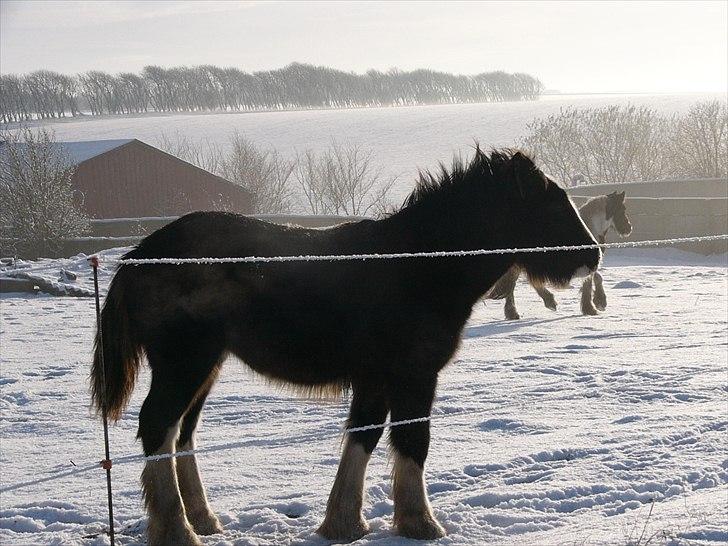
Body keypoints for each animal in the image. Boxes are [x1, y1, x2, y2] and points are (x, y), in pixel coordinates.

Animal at [92, 149, 604, 544]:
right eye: (550, 204)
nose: (593, 255)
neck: (418, 263)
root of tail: (139, 255)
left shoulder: (375, 381)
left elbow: (364, 438)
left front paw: (344, 522)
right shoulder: (414, 376)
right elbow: (412, 441)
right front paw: (421, 523)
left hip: (207, 365)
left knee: (181, 433)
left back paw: (202, 519)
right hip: (185, 362)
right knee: (158, 426)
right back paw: (177, 530)